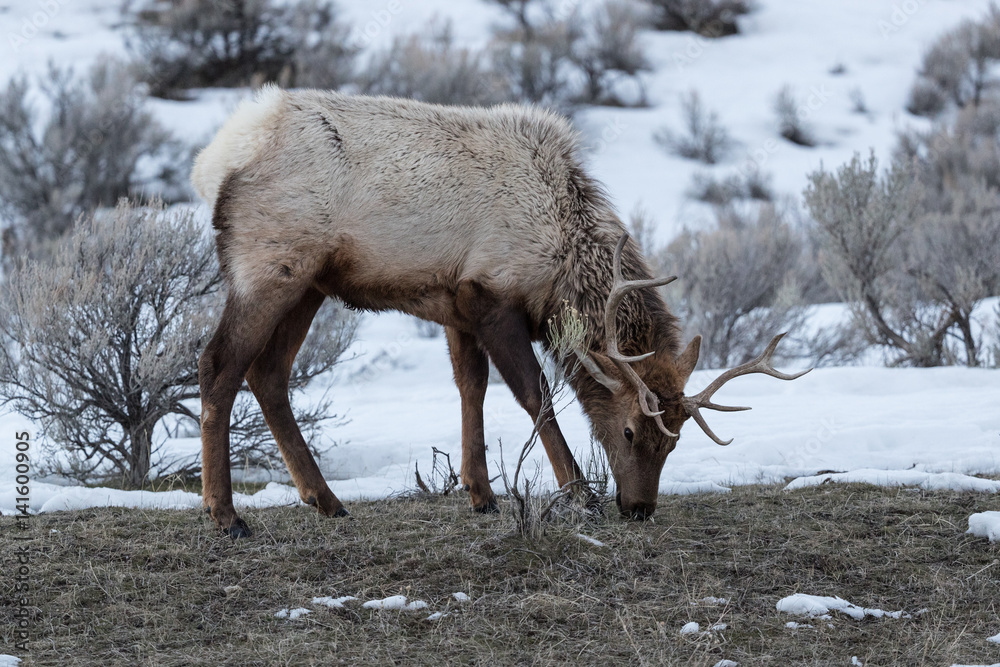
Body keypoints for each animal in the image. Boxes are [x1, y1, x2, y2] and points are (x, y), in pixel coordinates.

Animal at [191, 85, 809, 538]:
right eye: (631, 431)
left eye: (675, 440)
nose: (639, 508)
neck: (560, 262)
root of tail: (214, 160)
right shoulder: (491, 296)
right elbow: (536, 395)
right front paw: (580, 493)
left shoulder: (456, 303)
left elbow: (472, 387)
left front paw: (481, 493)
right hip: (269, 266)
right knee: (218, 364)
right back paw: (225, 514)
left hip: (310, 283)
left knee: (268, 373)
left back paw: (324, 499)